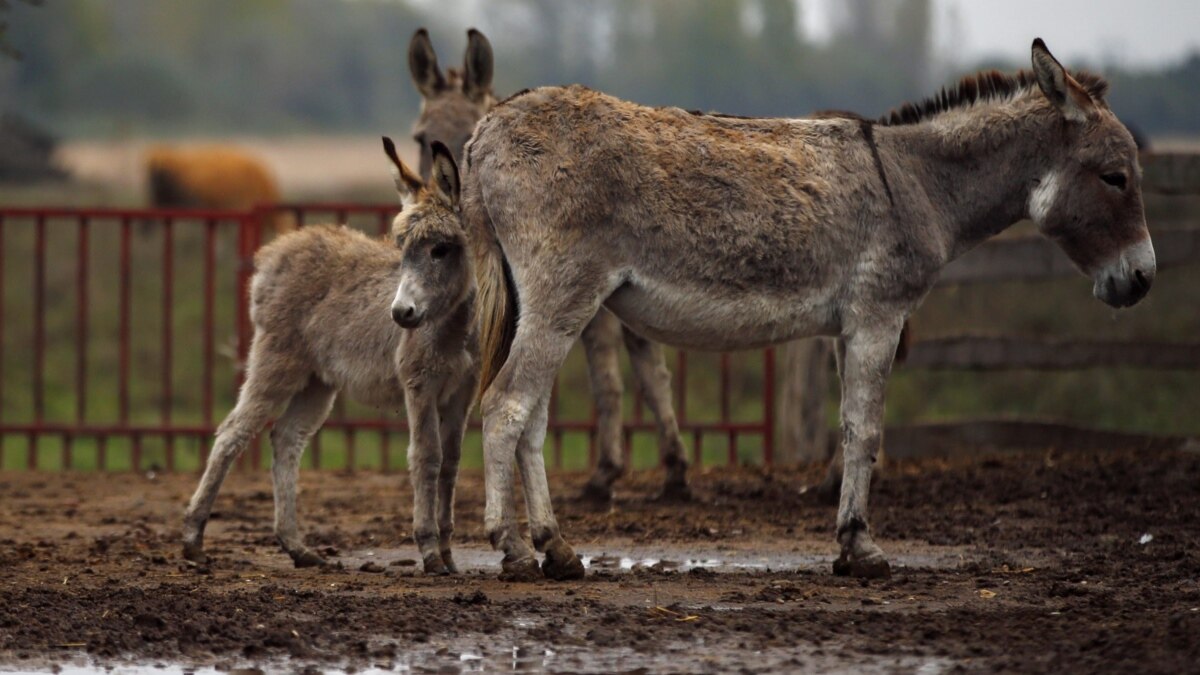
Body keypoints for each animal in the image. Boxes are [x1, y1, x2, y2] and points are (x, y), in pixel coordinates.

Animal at [182, 139, 472, 569]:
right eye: (401, 248)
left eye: (441, 249)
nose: (402, 314)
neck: (453, 326)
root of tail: (276, 251)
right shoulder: (419, 385)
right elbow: (426, 457)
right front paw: (430, 552)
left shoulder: (462, 393)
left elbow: (451, 462)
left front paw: (449, 556)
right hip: (276, 363)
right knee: (232, 432)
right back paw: (193, 537)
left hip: (316, 382)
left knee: (287, 437)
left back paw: (296, 547)